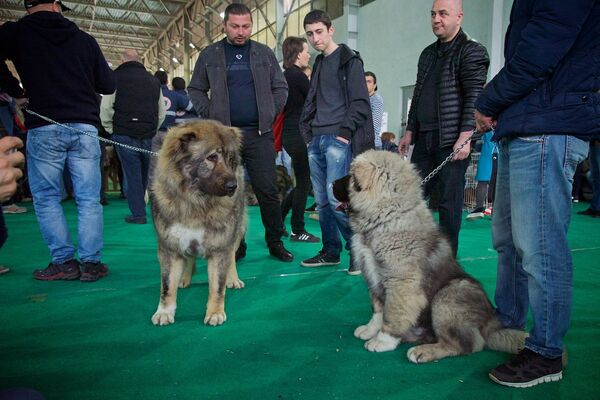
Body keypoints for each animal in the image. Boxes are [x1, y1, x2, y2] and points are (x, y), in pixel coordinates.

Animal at [151, 120, 245, 326]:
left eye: (231, 159)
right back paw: (184, 278)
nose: (233, 186)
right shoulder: (170, 248)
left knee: (232, 257)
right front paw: (164, 312)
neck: (195, 202)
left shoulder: (220, 247)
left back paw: (233, 279)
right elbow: (166, 285)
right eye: (212, 157)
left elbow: (217, 286)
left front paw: (215, 313)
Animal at [336, 152, 528, 364]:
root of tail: (492, 326)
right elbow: (378, 309)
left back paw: (422, 351)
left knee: (466, 344)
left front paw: (383, 340)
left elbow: (393, 313)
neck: (385, 218)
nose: (331, 184)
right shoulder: (374, 278)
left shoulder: (401, 282)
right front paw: (371, 330)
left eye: (350, 176)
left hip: (448, 296)